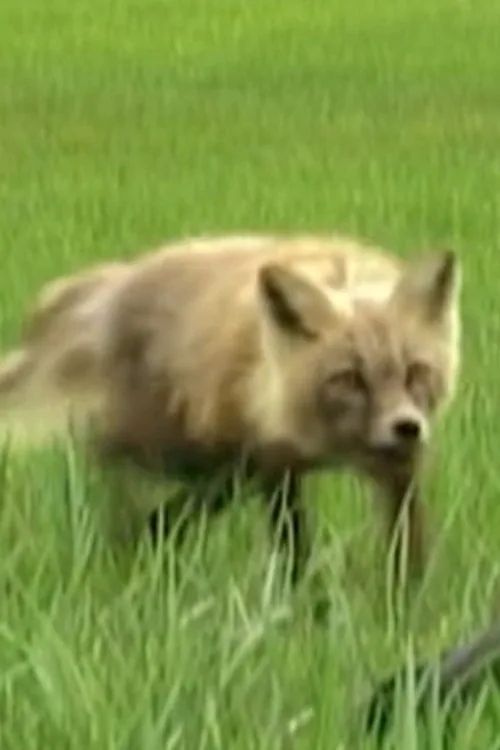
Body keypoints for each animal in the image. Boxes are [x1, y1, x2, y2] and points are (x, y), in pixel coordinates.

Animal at [0, 233, 461, 594]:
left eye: (417, 372)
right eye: (349, 379)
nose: (406, 427)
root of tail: (116, 283)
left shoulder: (397, 474)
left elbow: (407, 553)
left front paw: (403, 612)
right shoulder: (272, 464)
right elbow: (293, 549)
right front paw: (306, 609)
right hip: (175, 451)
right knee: (121, 490)